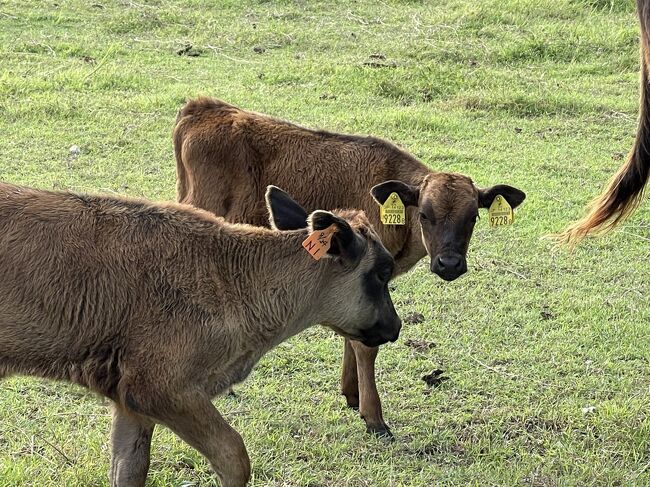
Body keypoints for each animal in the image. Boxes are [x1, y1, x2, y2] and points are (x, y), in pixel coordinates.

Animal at [0, 181, 400, 486]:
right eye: (383, 271)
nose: (395, 327)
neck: (229, 274)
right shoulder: (162, 390)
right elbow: (234, 456)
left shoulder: (131, 404)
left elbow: (128, 468)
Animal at [173, 99, 528, 438]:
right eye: (425, 214)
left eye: (473, 217)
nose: (449, 263)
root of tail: (203, 108)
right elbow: (366, 347)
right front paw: (374, 417)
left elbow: (351, 332)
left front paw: (351, 393)